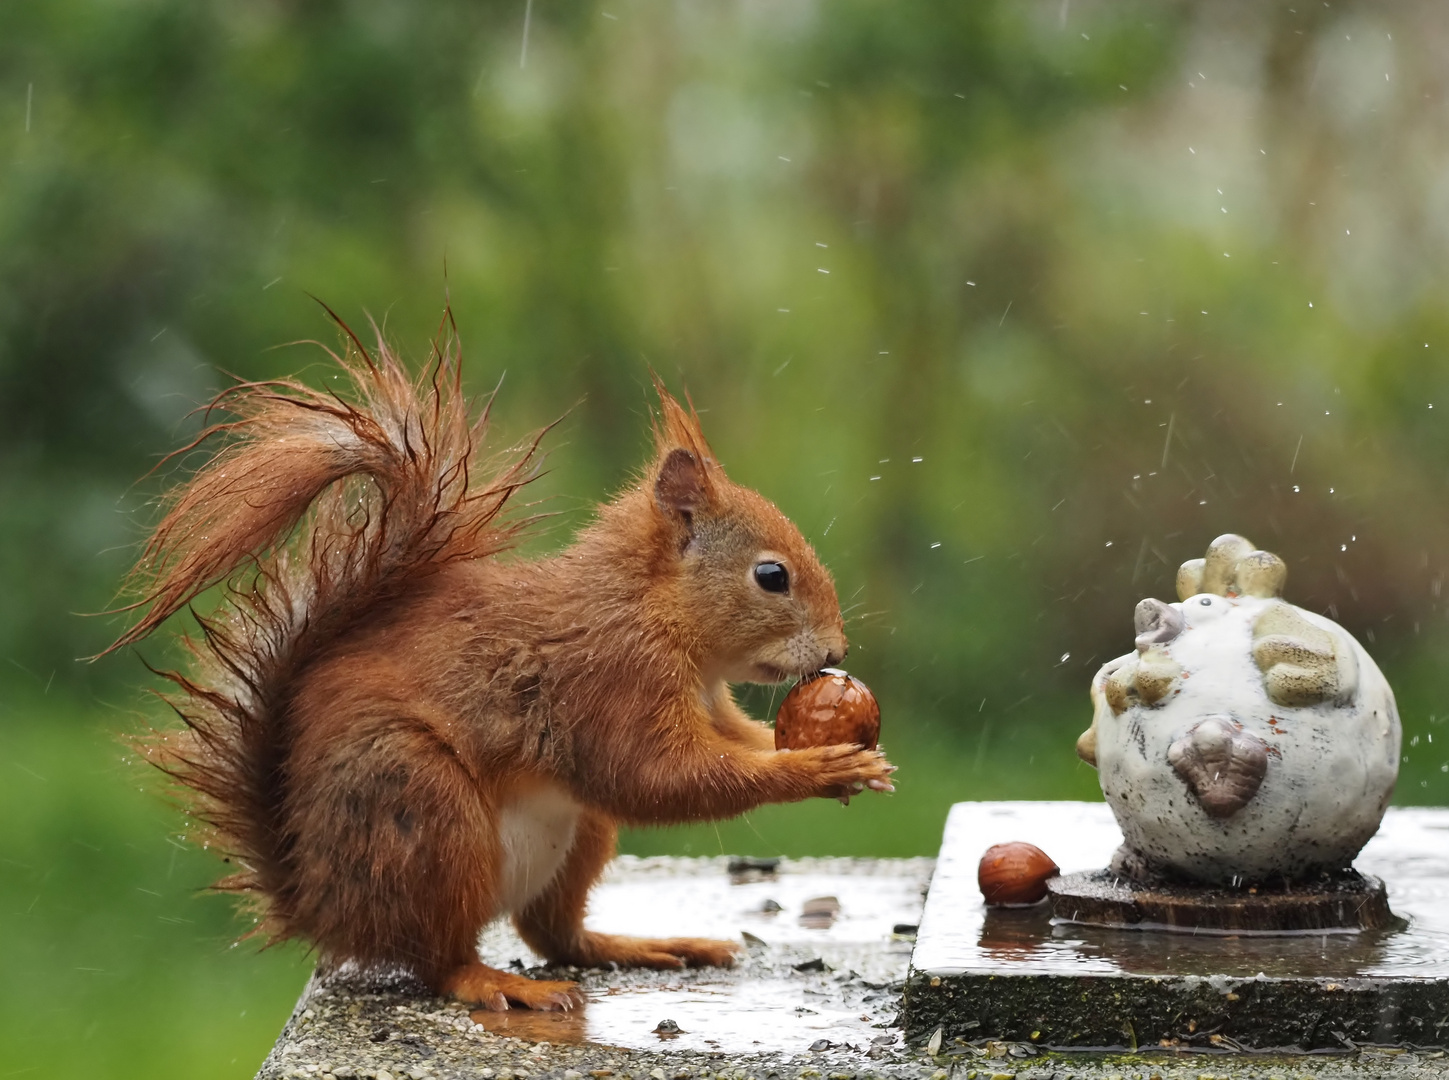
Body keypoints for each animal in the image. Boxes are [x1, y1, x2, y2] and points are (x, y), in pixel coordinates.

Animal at [115, 317, 892, 1008]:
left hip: (577, 834)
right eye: (771, 576)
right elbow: (659, 777)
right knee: (439, 959)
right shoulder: (610, 678)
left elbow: (734, 744)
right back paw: (498, 984)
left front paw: (854, 755)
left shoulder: (705, 701)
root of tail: (320, 904)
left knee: (553, 933)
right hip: (422, 809)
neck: (655, 613)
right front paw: (819, 767)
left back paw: (643, 945)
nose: (837, 652)